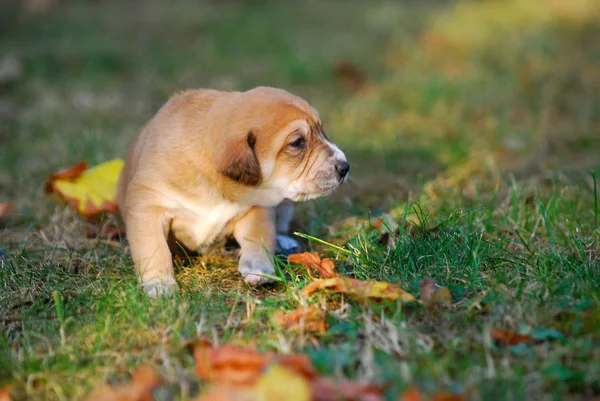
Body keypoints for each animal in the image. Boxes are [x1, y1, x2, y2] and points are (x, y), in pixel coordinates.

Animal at [117, 86, 350, 296]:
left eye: (321, 130)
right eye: (297, 142)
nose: (345, 167)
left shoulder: (257, 209)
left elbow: (259, 237)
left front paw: (258, 268)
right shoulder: (148, 208)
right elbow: (154, 249)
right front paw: (159, 284)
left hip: (285, 205)